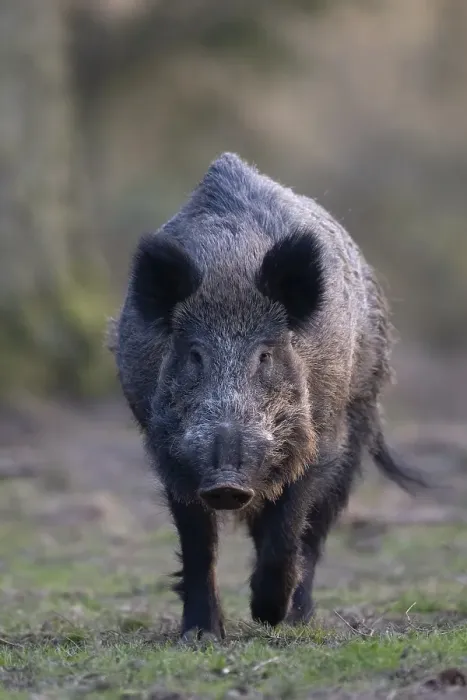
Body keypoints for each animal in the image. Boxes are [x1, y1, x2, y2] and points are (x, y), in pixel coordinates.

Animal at [110, 152, 425, 640]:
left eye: (264, 355)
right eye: (194, 354)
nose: (226, 482)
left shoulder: (319, 440)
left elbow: (289, 528)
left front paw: (267, 616)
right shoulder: (169, 450)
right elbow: (198, 543)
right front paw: (201, 635)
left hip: (358, 417)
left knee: (314, 531)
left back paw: (296, 619)